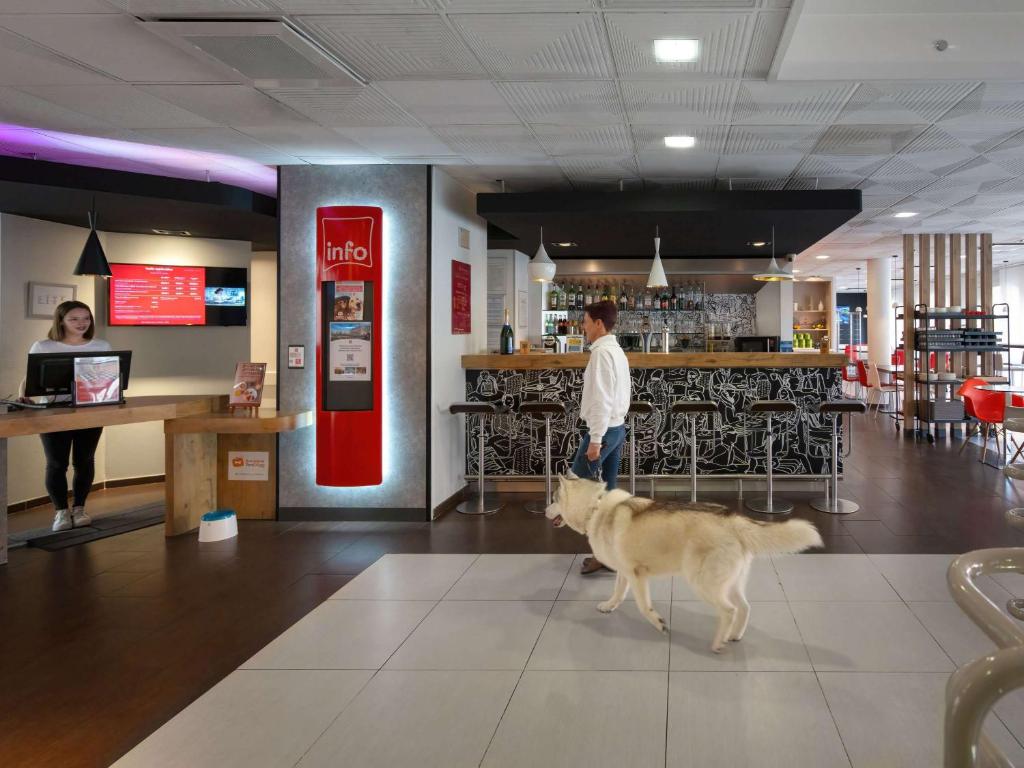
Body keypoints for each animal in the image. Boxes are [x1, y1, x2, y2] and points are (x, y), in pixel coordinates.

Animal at [544, 473, 823, 651]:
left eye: (554, 498)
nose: (544, 512)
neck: (596, 508)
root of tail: (734, 519)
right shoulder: (625, 573)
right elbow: (618, 592)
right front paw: (609, 606)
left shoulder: (637, 575)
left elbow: (643, 607)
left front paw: (658, 623)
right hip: (730, 583)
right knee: (744, 607)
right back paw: (734, 635)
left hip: (702, 583)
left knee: (729, 610)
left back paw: (718, 643)